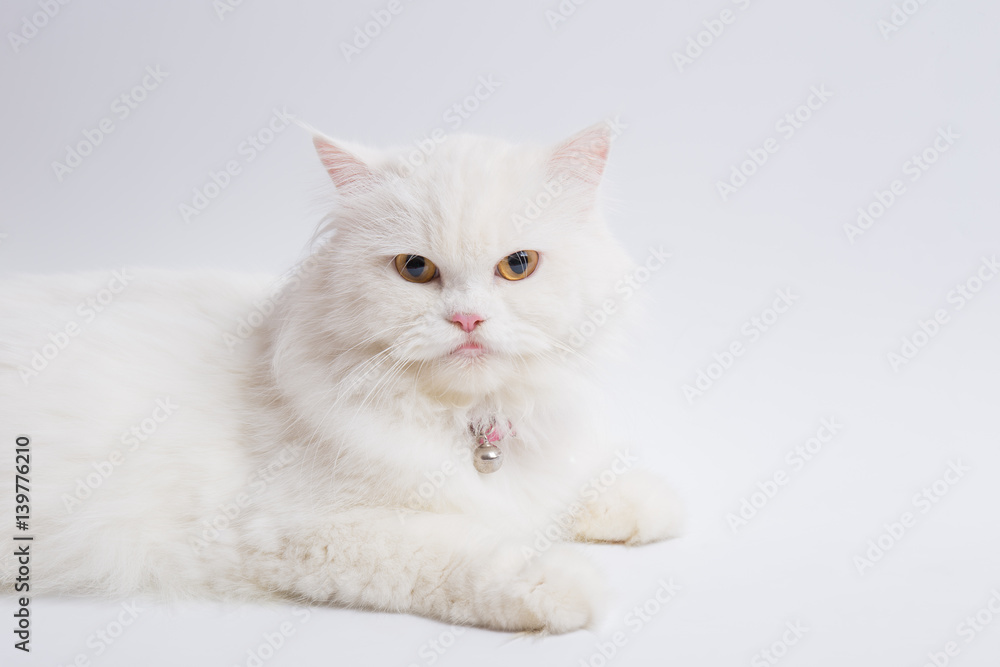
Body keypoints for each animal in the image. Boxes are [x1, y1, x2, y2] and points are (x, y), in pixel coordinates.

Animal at [0, 124, 680, 632]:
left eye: (518, 265)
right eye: (415, 269)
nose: (467, 318)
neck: (466, 421)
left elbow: (575, 486)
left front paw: (647, 503)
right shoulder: (299, 533)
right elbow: (471, 554)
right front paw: (562, 583)